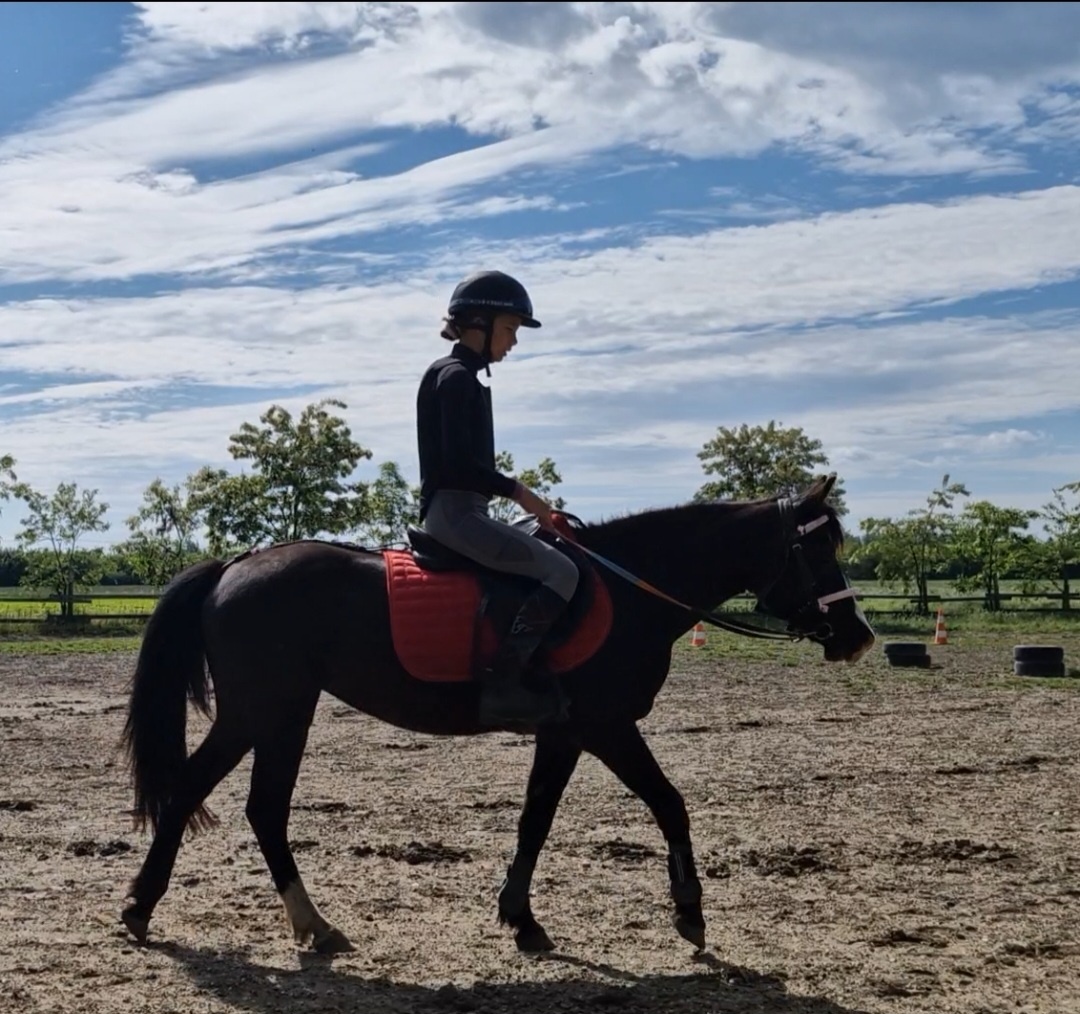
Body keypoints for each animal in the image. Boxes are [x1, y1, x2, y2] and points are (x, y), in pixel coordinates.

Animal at [119, 473, 874, 955]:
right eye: (814, 548)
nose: (859, 636)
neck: (632, 591)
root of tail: (232, 568)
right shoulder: (606, 727)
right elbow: (670, 803)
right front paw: (689, 911)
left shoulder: (565, 734)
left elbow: (535, 819)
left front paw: (520, 919)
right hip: (267, 712)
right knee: (222, 799)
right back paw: (161, 910)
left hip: (270, 715)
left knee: (240, 805)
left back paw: (274, 920)